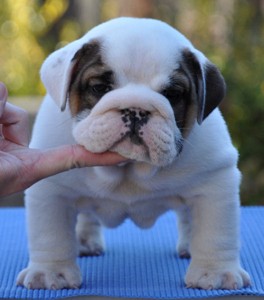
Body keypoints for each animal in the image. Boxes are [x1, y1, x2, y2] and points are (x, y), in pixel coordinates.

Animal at [17, 17, 250, 290]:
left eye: (172, 94)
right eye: (100, 87)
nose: (136, 110)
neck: (130, 169)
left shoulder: (215, 181)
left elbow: (216, 232)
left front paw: (215, 273)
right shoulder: (50, 190)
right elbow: (50, 235)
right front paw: (51, 273)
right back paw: (84, 241)